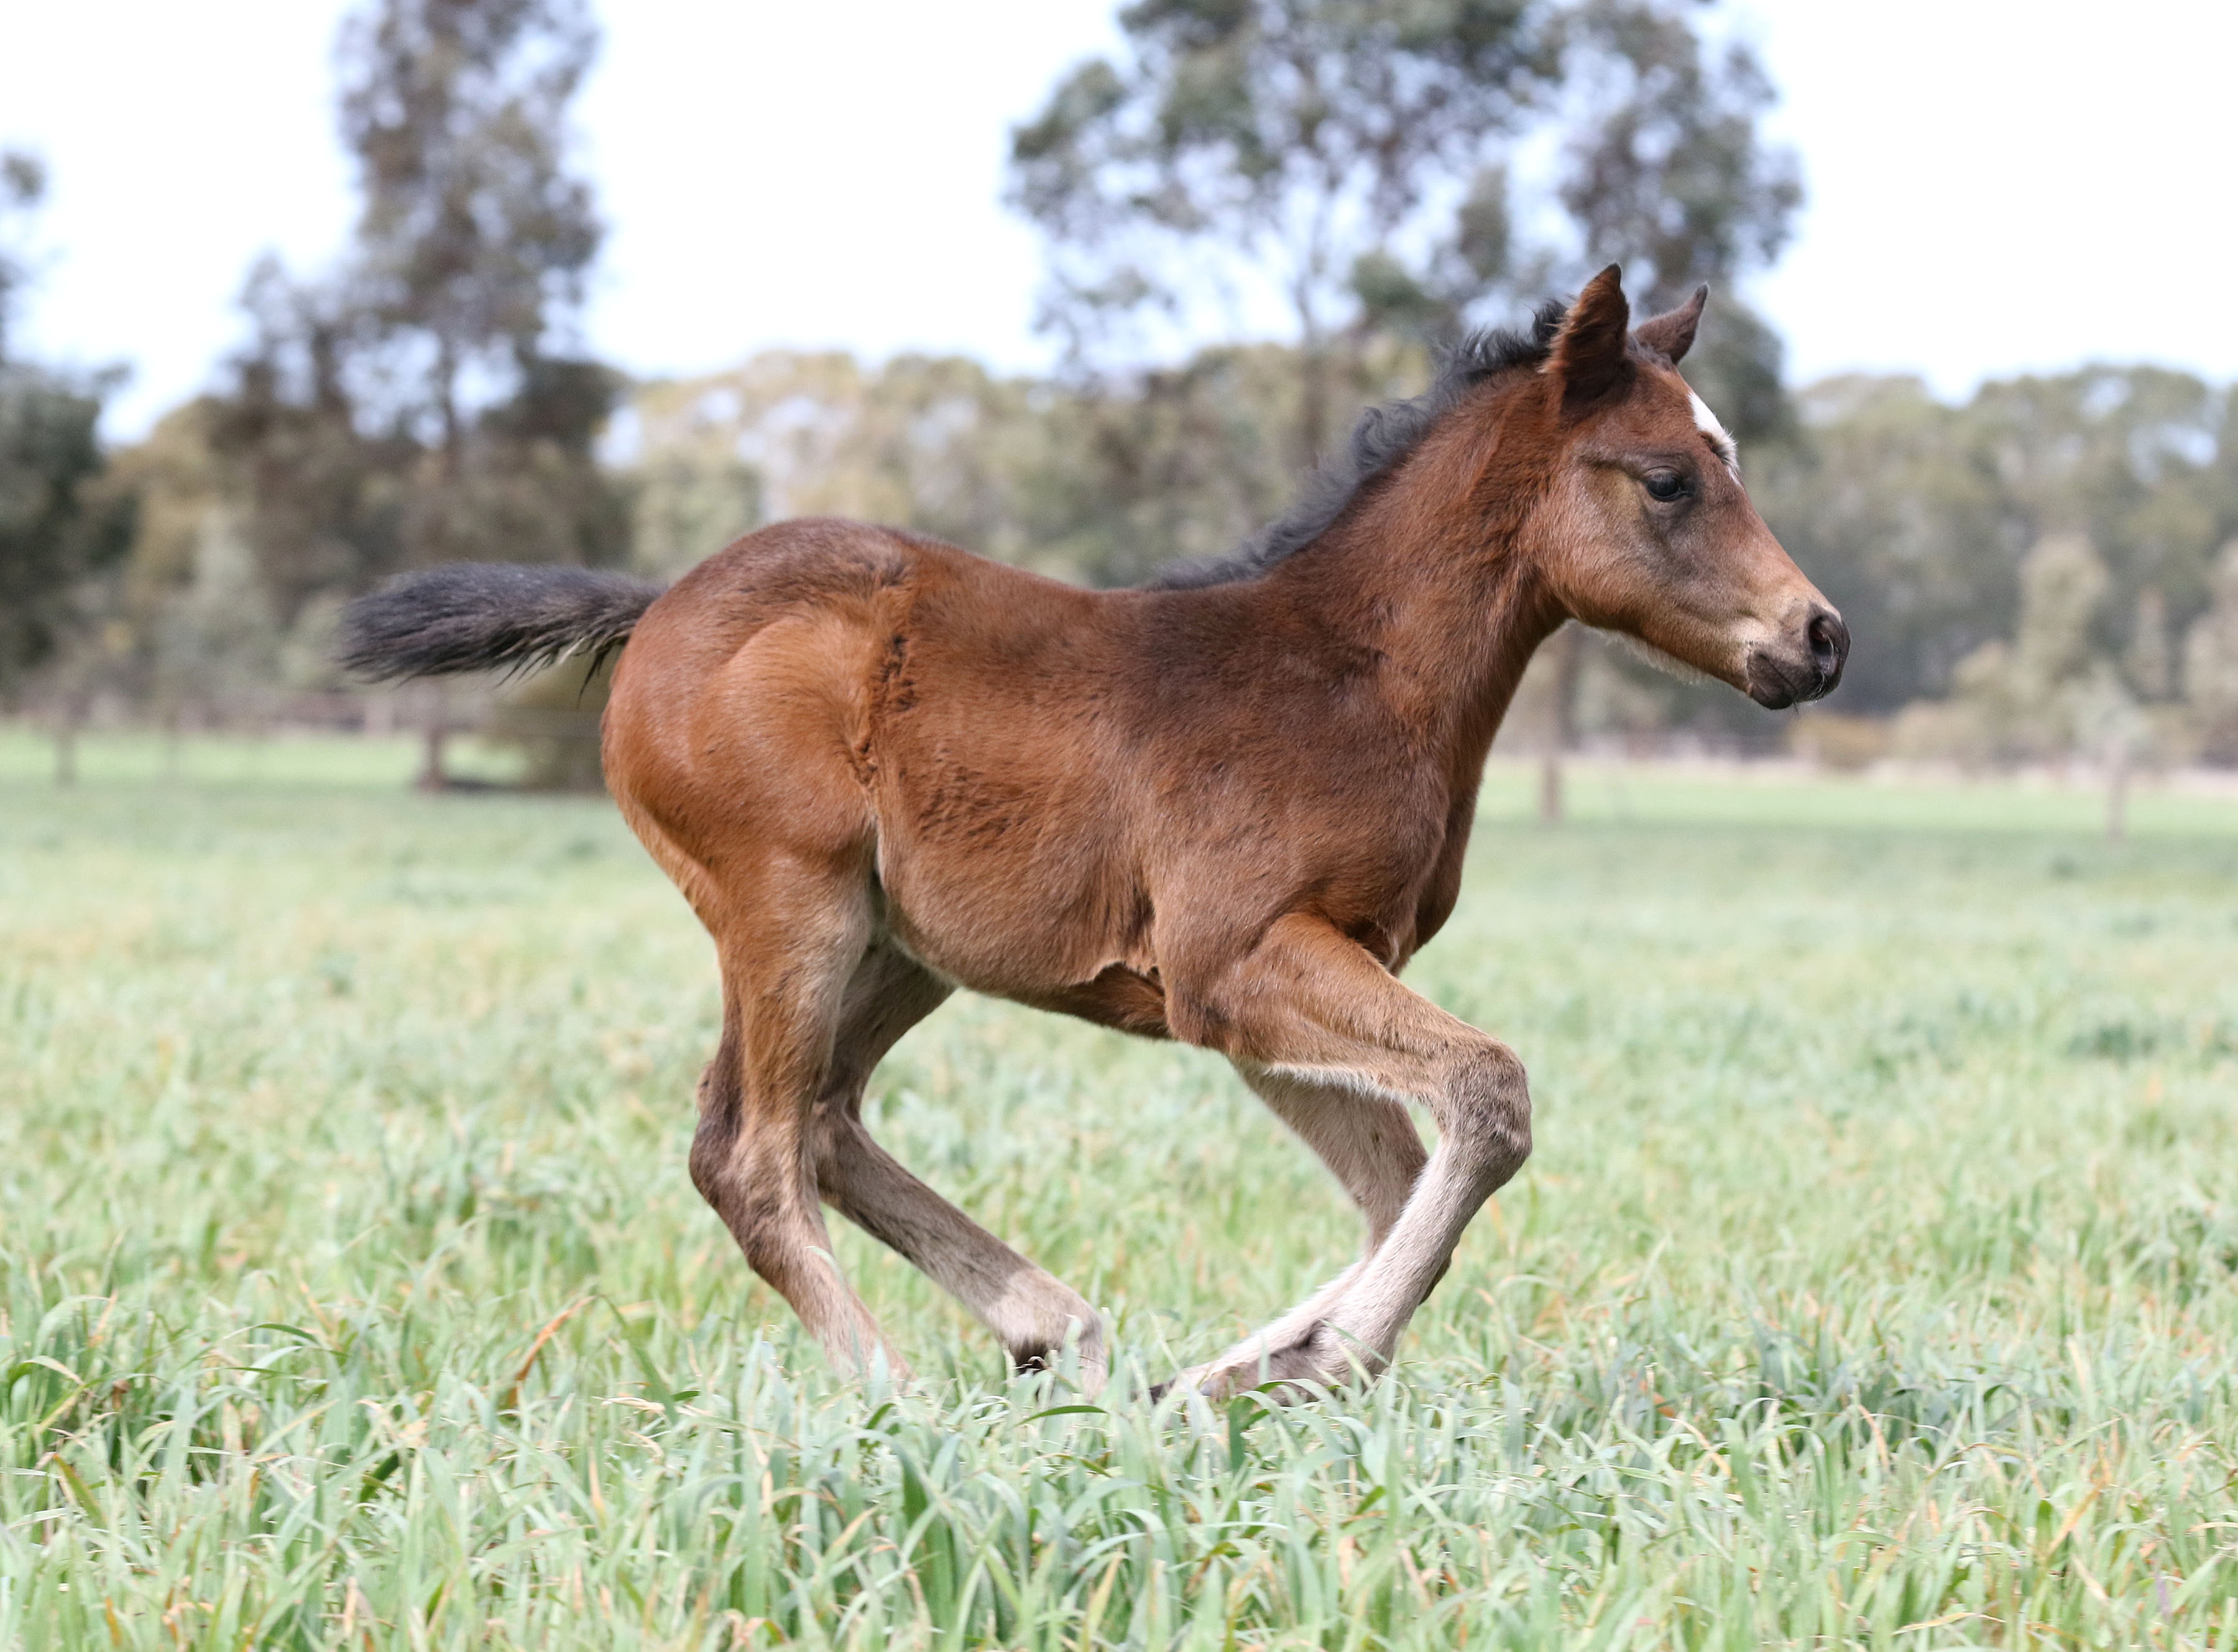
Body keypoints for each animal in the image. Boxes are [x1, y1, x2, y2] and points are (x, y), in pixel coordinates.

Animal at [340, 267, 1844, 1388]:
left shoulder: (1255, 987)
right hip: (788, 903)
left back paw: (1057, 1332)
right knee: (753, 1157)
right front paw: (1325, 1360)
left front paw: (1236, 1379)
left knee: (814, 1119)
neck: (1352, 674)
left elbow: (1396, 1172)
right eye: (1669, 479)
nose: (1819, 637)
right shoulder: (1237, 960)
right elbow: (1488, 1100)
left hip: (900, 946)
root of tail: (658, 605)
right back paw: (901, 1413)